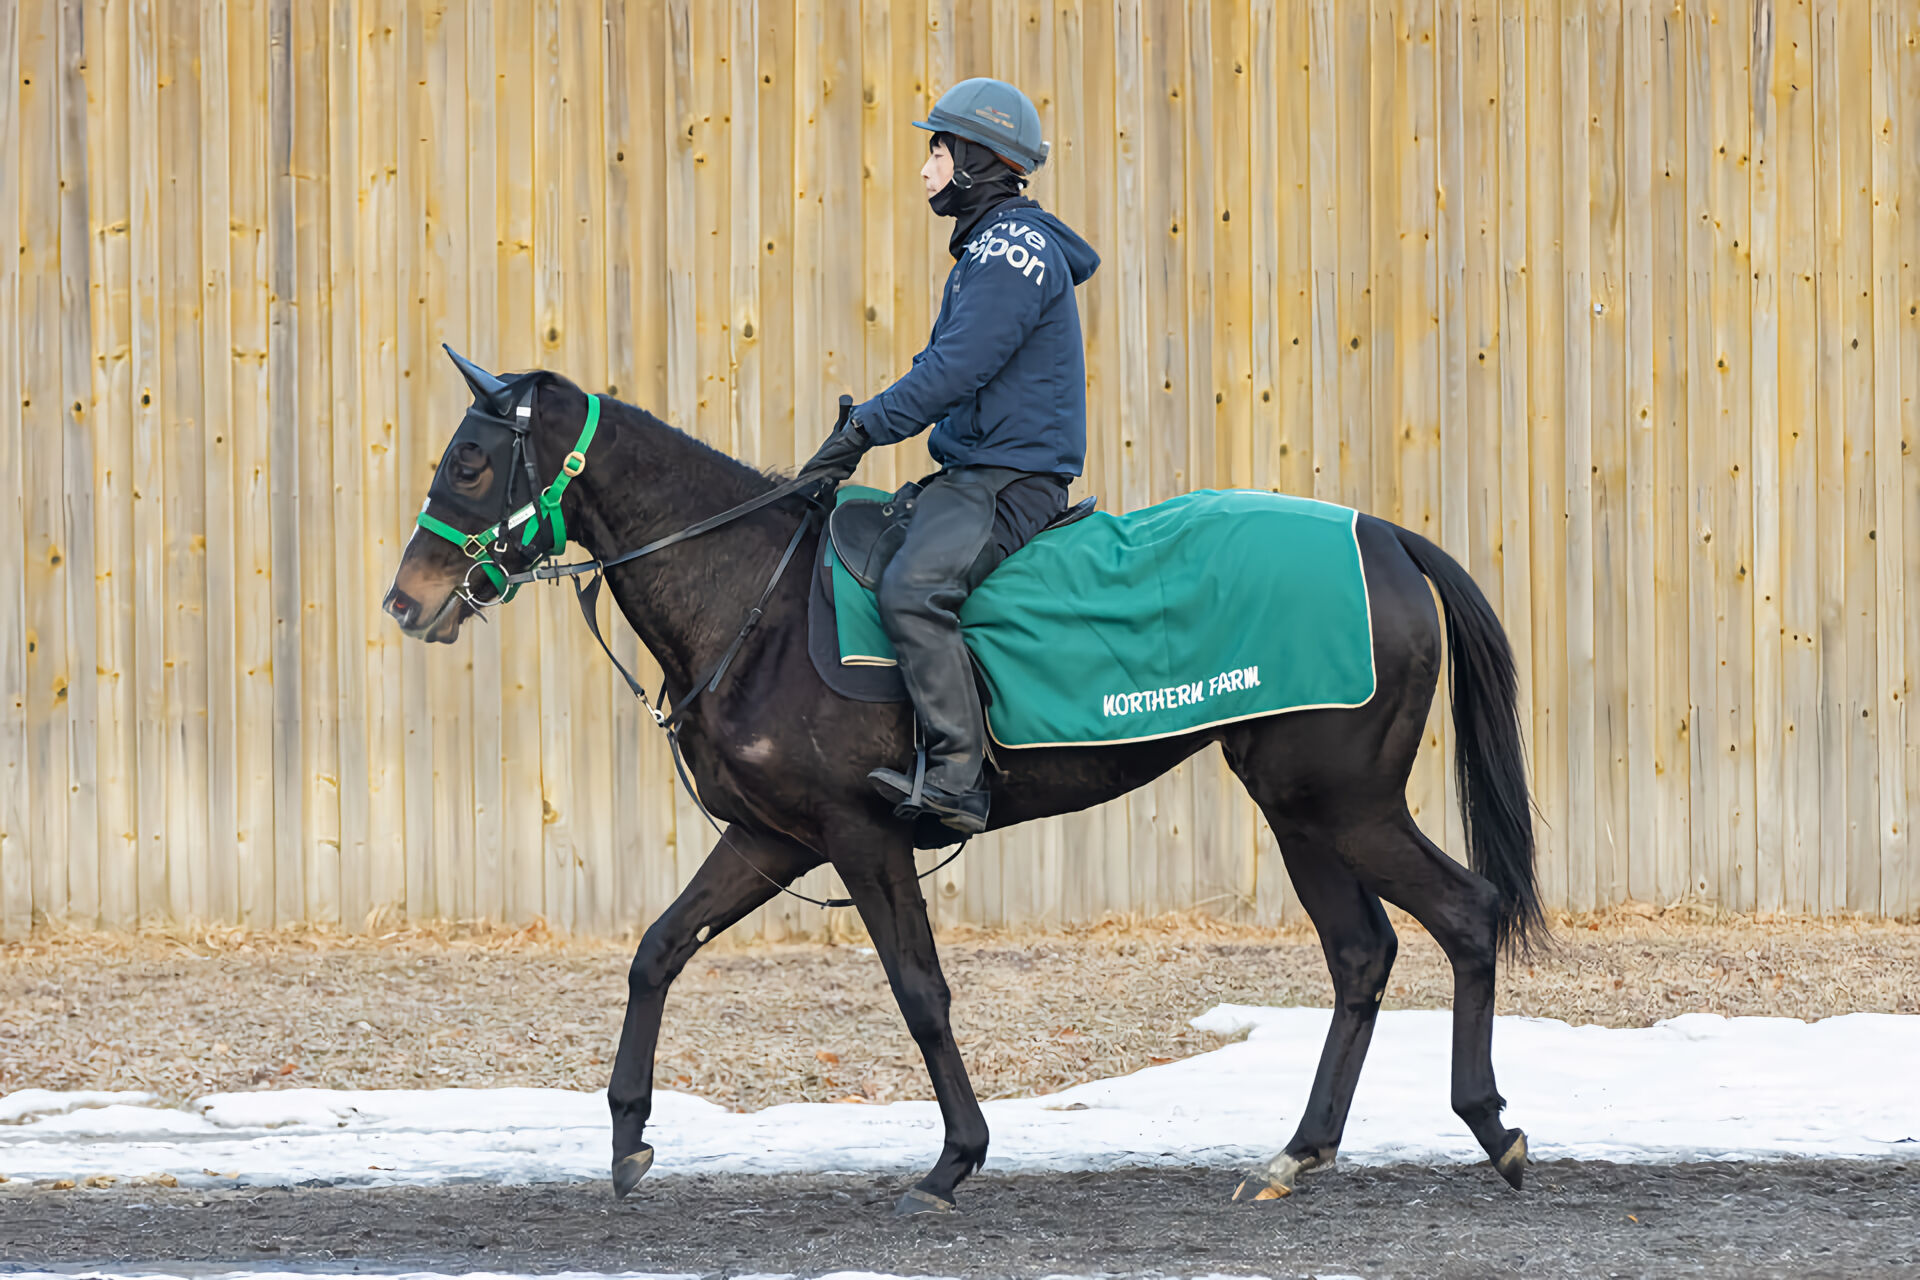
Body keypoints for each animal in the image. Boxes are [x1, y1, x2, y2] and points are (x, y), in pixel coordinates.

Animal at [382, 355, 1536, 1220]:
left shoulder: (862, 835)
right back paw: (1301, 1151)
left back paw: (1491, 1123)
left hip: (1344, 802)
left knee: (1466, 912)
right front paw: (627, 1133)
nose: (407, 601)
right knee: (1362, 953)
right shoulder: (769, 839)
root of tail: (1382, 535)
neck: (755, 593)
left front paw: (954, 1160)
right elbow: (657, 950)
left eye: (473, 461)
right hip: (1299, 807)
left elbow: (920, 990)